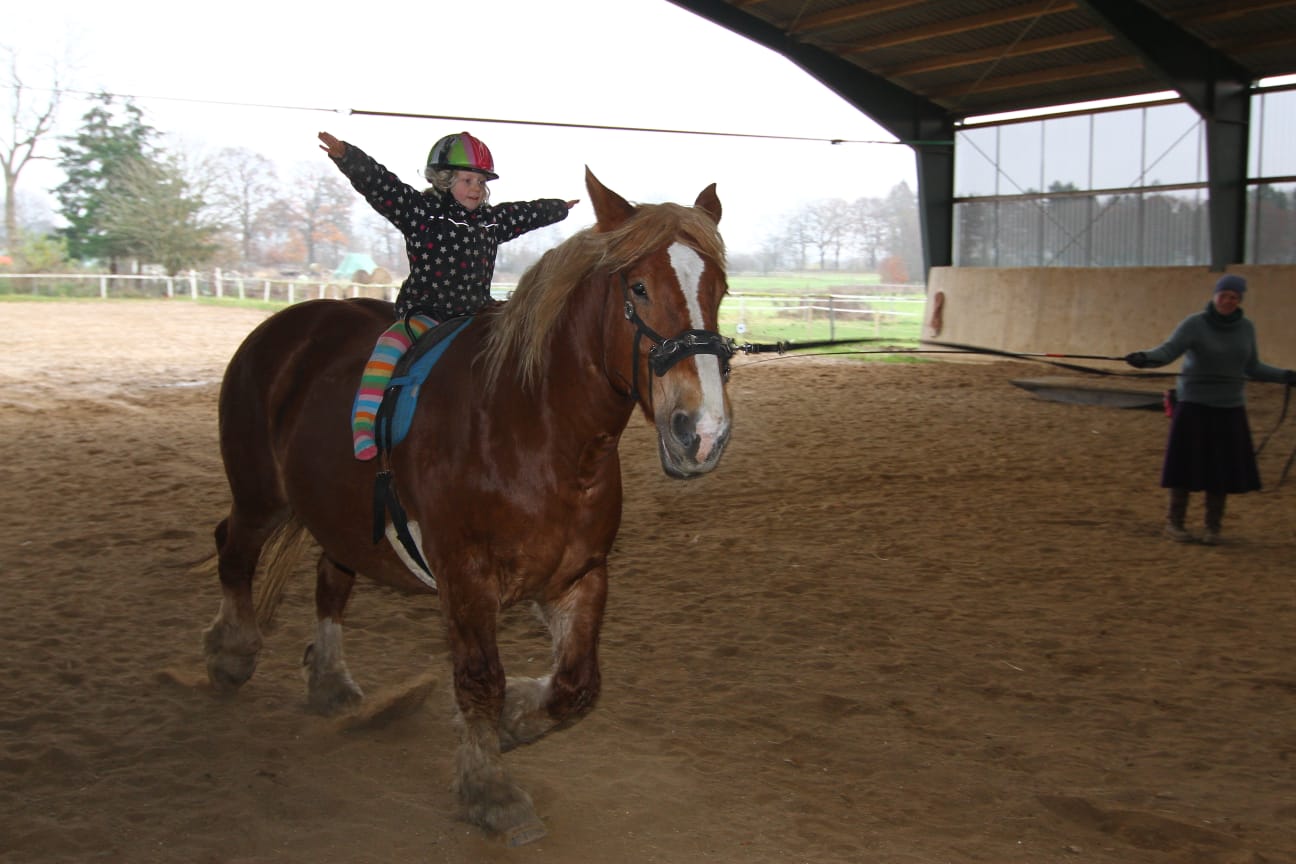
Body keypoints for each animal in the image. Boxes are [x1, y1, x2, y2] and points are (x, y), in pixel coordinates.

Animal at [199, 168, 730, 844]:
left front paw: (516, 720)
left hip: (337, 515)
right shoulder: (467, 578)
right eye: (639, 287)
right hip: (260, 495)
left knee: (331, 581)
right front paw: (489, 788)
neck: (535, 431)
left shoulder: (579, 576)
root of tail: (284, 327)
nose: (703, 432)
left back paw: (330, 680)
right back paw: (232, 652)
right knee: (234, 550)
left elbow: (577, 685)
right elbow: (481, 680)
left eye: (719, 288)